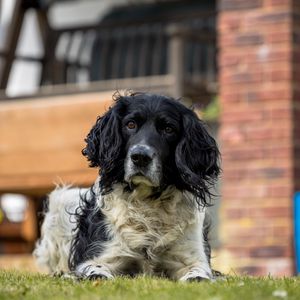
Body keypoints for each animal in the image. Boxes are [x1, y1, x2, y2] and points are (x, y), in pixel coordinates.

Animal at [34, 91, 220, 282]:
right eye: (131, 124)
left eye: (168, 129)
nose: (140, 156)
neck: (147, 202)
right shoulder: (100, 256)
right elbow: (97, 272)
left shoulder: (191, 258)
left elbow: (198, 273)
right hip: (60, 201)